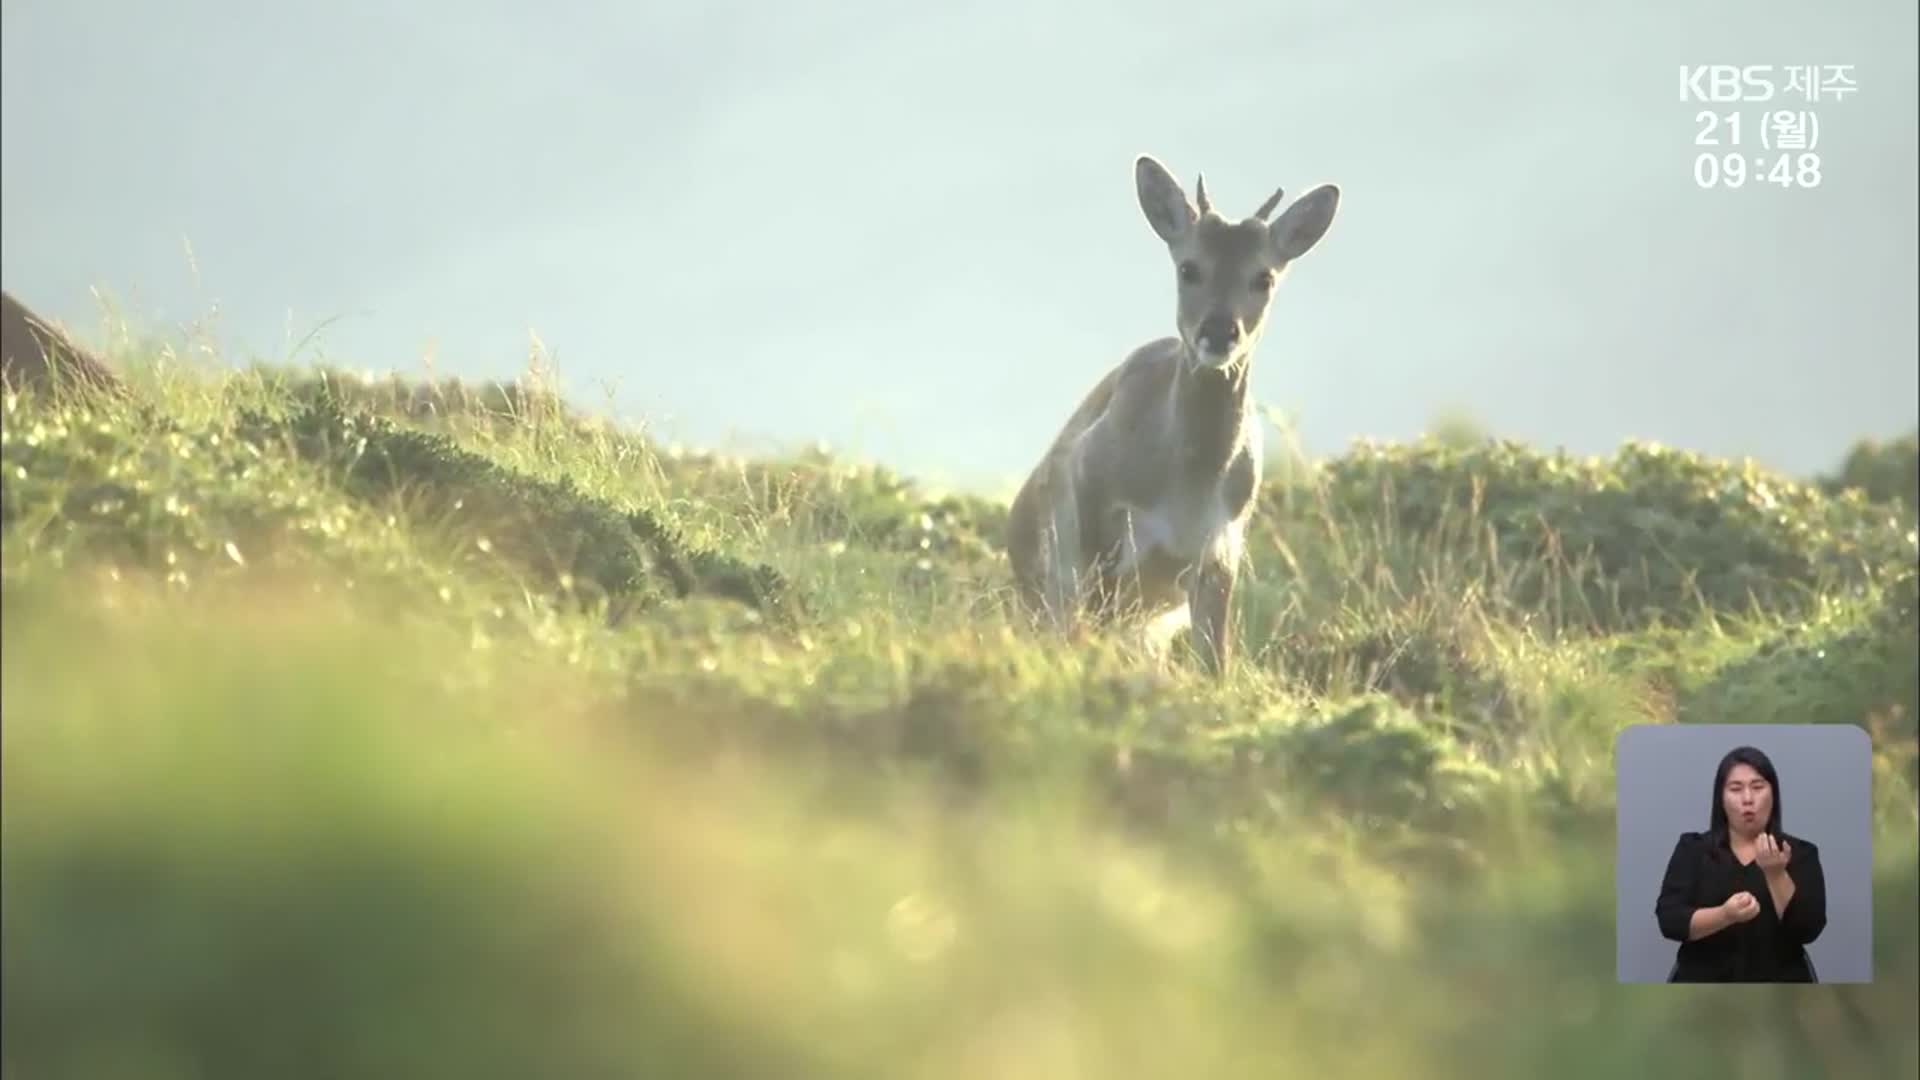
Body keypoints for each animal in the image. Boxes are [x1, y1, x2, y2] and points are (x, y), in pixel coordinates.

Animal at [1006, 153, 1336, 672]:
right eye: (1189, 267)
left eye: (1263, 276)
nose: (1218, 331)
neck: (1185, 486)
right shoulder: (1095, 518)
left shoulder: (1219, 552)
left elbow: (1215, 663)